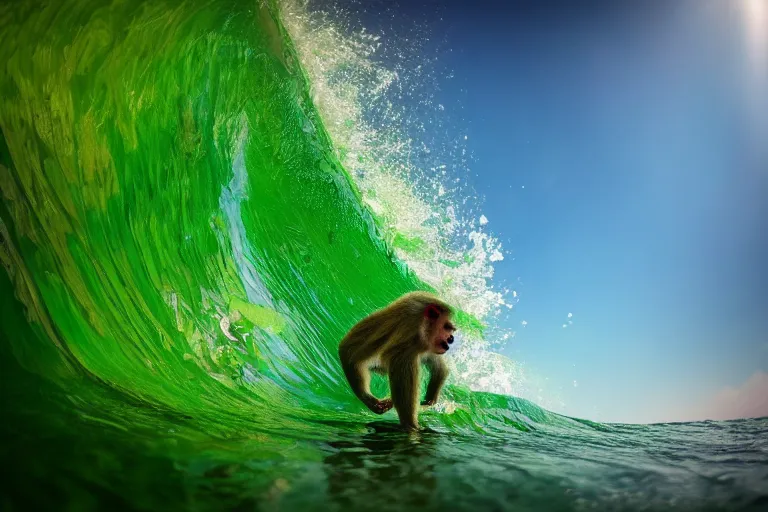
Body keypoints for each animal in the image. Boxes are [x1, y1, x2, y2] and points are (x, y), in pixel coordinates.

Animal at [338, 290, 456, 430]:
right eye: (447, 327)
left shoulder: (425, 345)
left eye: (450, 329)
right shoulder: (409, 344)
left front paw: (431, 397)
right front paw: (412, 426)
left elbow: (440, 368)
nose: (451, 338)